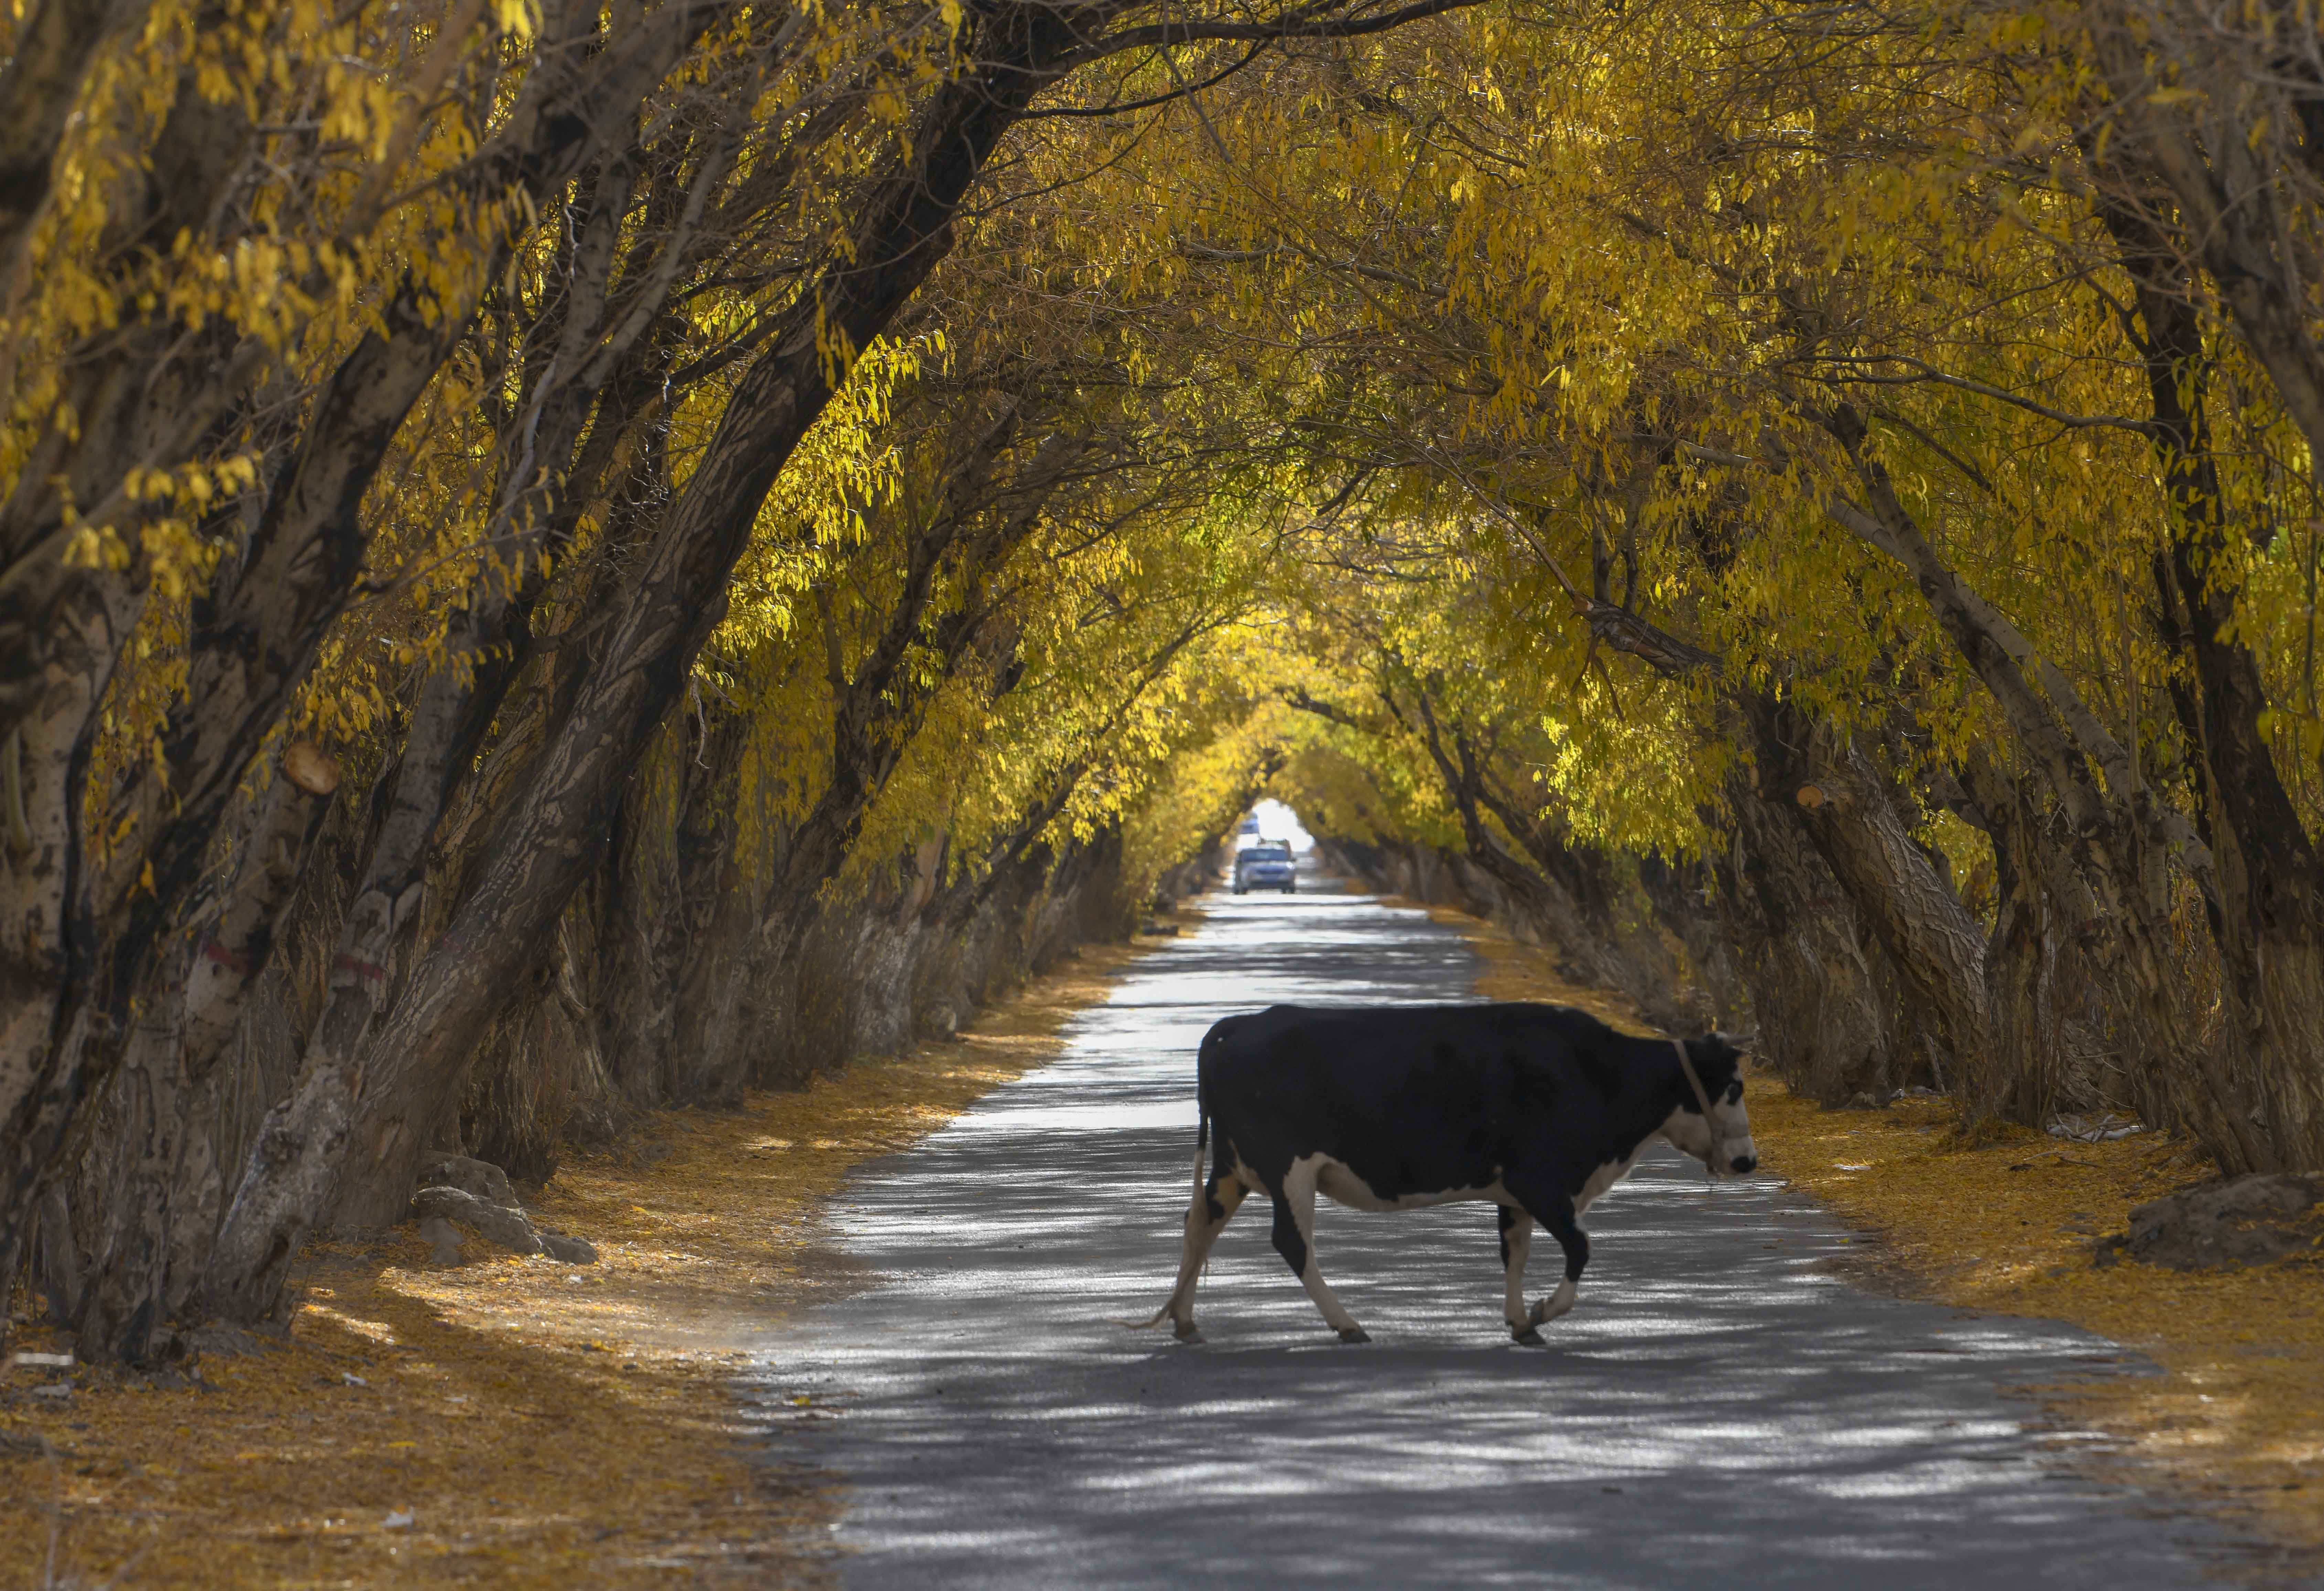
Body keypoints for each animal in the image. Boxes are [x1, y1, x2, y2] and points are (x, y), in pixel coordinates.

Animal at [1134, 1005, 1747, 1340]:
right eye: (1733, 1087)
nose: (1747, 1160)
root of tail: (1242, 1023)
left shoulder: (1516, 1192)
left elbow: (1514, 1250)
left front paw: (1519, 1319)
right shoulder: (1542, 1181)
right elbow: (1578, 1247)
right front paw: (1543, 1312)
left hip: (1231, 1165)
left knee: (1199, 1222)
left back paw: (1184, 1319)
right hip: (1287, 1167)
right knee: (1290, 1240)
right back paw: (1347, 1324)